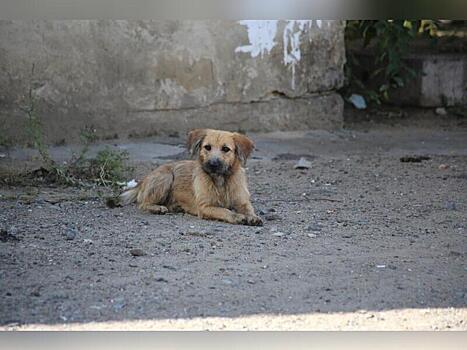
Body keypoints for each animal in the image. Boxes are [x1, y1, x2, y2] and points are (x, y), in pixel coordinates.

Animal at [120, 130, 264, 226]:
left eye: (225, 149)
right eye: (207, 147)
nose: (213, 164)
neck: (221, 181)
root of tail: (143, 180)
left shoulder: (242, 202)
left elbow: (249, 209)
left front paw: (252, 217)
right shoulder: (205, 207)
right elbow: (224, 211)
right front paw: (237, 217)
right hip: (166, 177)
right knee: (143, 203)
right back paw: (158, 208)